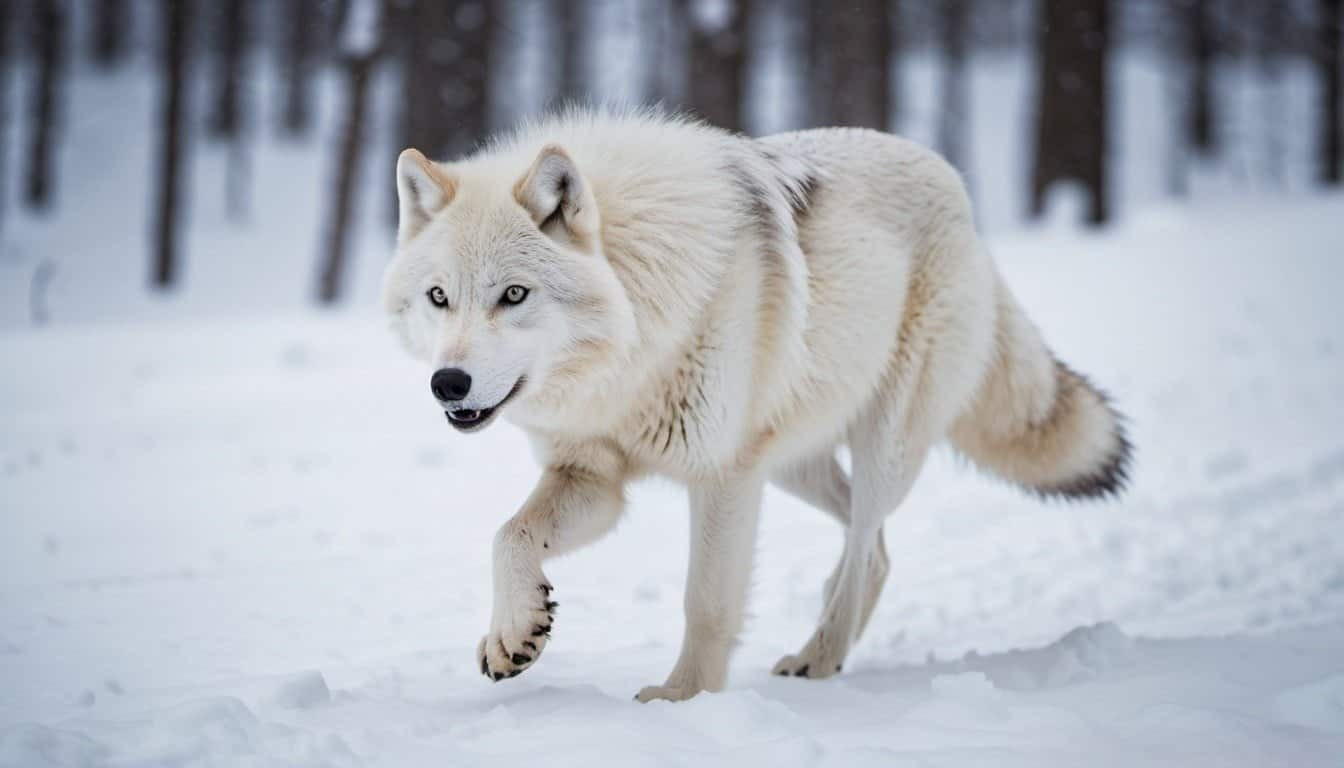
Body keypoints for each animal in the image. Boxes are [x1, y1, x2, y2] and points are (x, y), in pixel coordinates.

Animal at [384, 108, 1128, 704]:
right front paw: (514, 634)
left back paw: (819, 657)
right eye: (439, 297)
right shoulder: (593, 477)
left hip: (881, 445)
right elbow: (508, 536)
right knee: (876, 549)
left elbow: (707, 603)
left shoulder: (723, 476)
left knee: (865, 541)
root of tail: (955, 185)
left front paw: (681, 702)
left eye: (513, 294)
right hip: (793, 462)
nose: (448, 383)